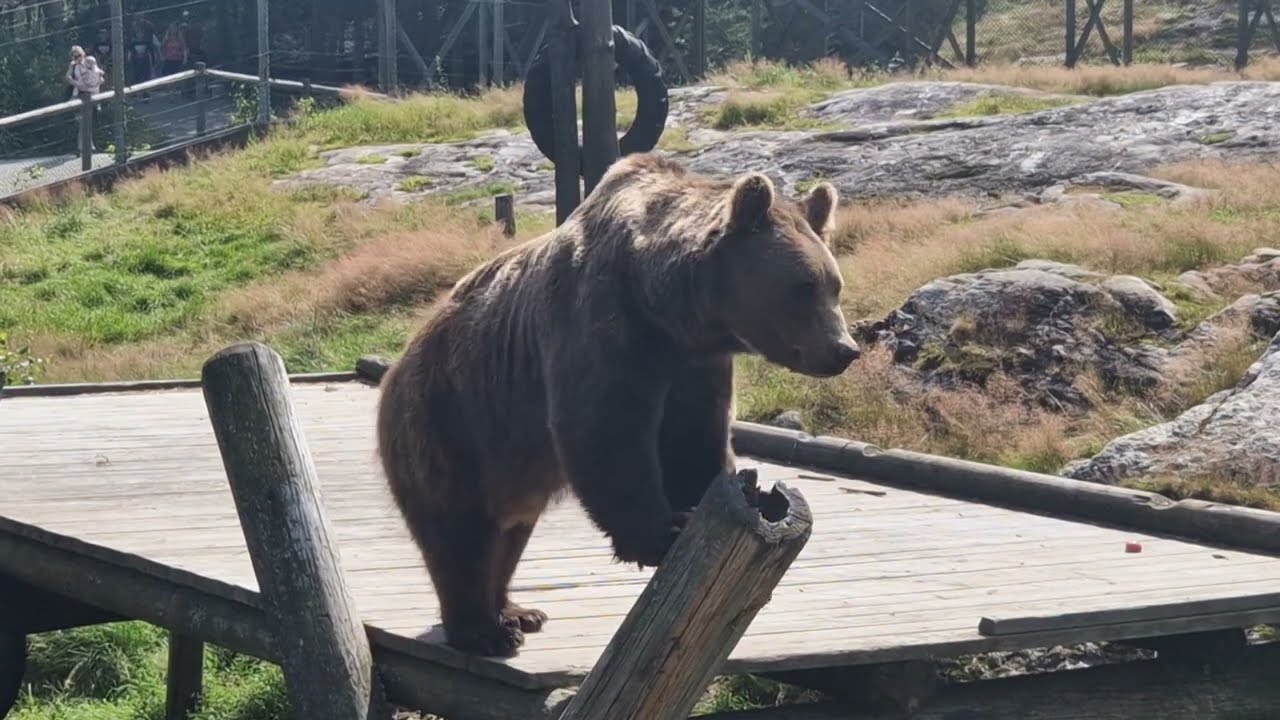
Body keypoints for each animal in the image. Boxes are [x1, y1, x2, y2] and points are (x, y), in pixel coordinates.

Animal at [375, 152, 860, 657]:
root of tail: (398, 364)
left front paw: (739, 492)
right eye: (803, 286)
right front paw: (659, 532)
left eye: (835, 285)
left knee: (509, 536)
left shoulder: (695, 363)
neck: (665, 306)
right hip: (449, 423)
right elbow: (604, 431)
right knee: (459, 534)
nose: (844, 349)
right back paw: (484, 630)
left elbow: (695, 435)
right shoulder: (601, 321)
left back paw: (517, 611)